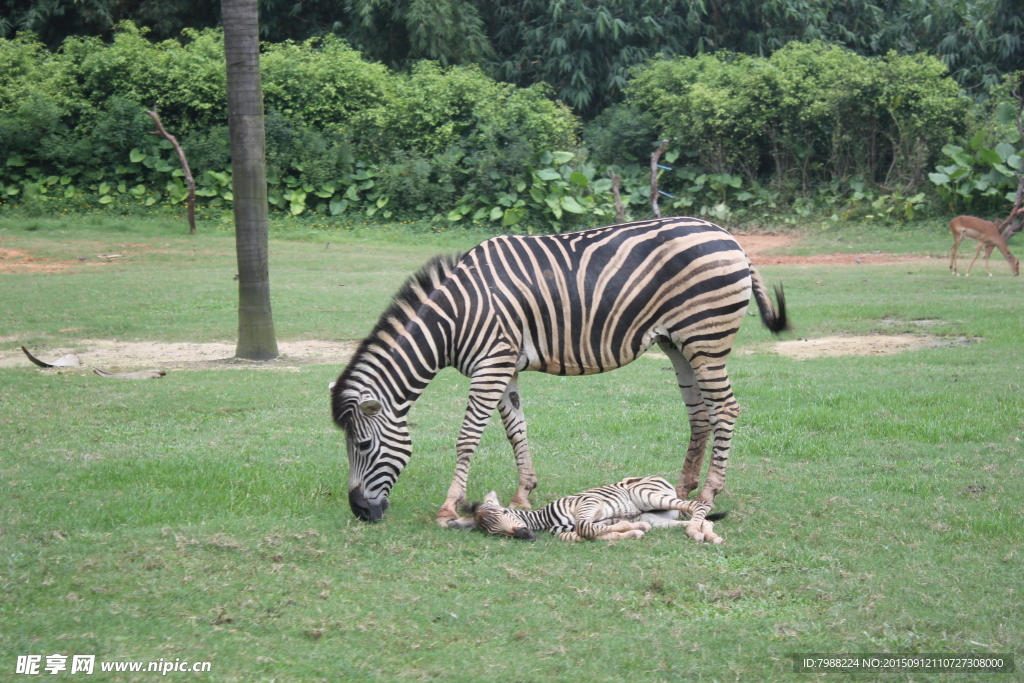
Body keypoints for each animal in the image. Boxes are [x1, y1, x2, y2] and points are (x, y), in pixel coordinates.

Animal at [456, 475, 729, 544]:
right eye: (495, 532)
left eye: (504, 513)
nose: (525, 535)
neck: (544, 521)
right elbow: (582, 533)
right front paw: (629, 530)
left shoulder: (589, 503)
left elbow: (585, 527)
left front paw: (629, 526)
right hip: (658, 517)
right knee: (703, 519)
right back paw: (705, 534)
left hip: (645, 495)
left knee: (697, 505)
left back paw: (695, 532)